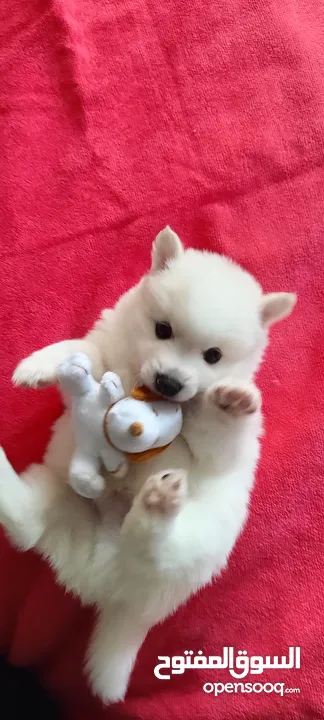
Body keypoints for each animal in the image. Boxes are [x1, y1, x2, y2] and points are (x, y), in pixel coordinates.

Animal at [0, 229, 296, 704]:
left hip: (193, 548)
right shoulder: (103, 350)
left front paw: (230, 402)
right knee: (27, 524)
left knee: (152, 548)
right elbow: (82, 349)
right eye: (162, 330)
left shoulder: (219, 450)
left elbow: (217, 435)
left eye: (213, 356)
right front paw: (41, 364)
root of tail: (111, 593)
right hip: (55, 494)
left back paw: (157, 502)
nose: (170, 383)